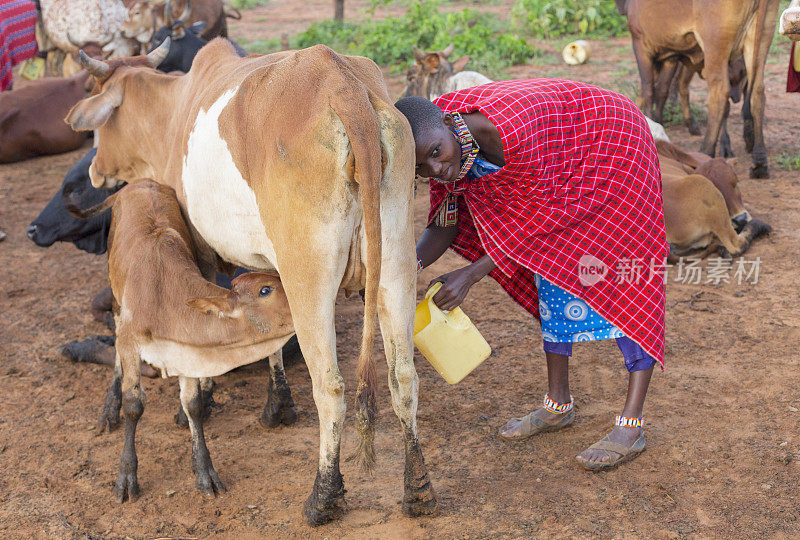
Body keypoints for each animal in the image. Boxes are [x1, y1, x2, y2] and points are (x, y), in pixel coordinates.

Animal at [67, 179, 296, 500]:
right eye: (266, 290)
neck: (164, 296)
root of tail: (139, 182)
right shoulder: (130, 339)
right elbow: (134, 405)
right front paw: (126, 476)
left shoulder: (187, 350)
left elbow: (194, 406)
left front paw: (204, 471)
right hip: (115, 296)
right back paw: (109, 409)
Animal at [620, 0, 780, 179]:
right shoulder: (670, 55)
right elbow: (661, 91)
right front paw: (658, 124)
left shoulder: (641, 44)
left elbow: (648, 91)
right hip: (761, 37)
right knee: (758, 92)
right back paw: (759, 162)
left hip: (715, 46)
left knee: (719, 92)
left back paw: (706, 151)